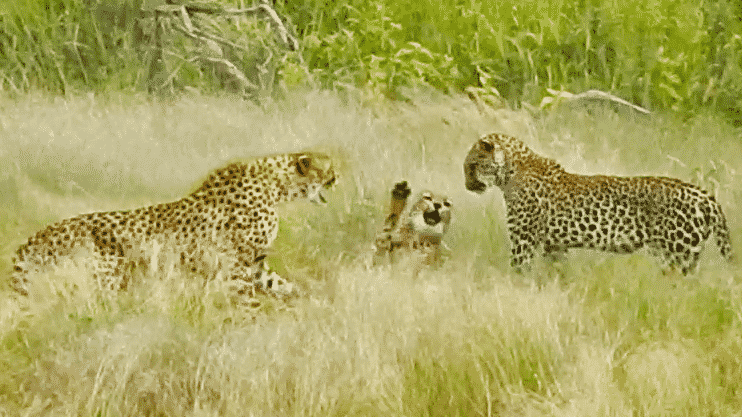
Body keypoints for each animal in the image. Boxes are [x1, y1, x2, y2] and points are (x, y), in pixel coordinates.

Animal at [10, 151, 338, 300]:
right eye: (329, 168)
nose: (337, 178)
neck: (277, 185)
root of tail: (38, 234)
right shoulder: (239, 265)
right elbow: (247, 300)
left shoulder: (254, 264)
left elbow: (281, 283)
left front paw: (311, 299)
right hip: (105, 280)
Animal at [464, 133, 732, 274]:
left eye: (472, 165)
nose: (467, 186)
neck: (511, 172)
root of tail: (706, 196)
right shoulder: (555, 245)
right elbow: (557, 272)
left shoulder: (523, 241)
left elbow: (518, 270)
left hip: (677, 254)